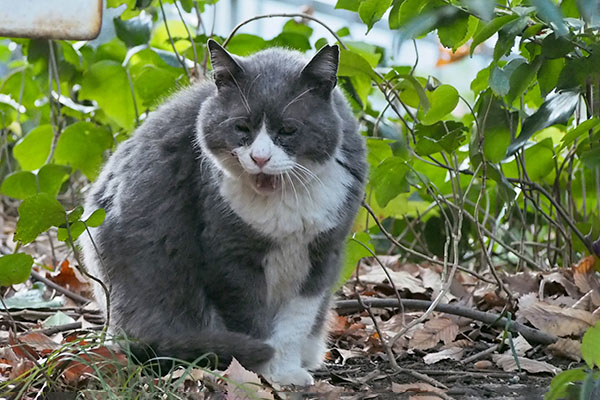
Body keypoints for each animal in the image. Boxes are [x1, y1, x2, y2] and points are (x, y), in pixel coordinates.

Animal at [78, 39, 366, 386]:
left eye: (288, 129)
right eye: (241, 126)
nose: (259, 158)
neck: (282, 201)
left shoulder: (323, 254)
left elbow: (296, 322)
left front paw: (286, 372)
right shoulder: (229, 257)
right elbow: (251, 324)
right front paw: (261, 372)